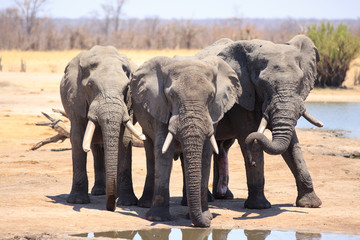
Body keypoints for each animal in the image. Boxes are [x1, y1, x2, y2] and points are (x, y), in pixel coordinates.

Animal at [59, 45, 145, 212]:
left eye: (127, 87)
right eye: (90, 86)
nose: (111, 208)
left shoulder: (129, 103)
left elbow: (125, 139)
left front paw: (127, 203)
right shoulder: (75, 98)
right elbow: (77, 138)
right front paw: (78, 201)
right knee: (96, 147)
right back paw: (99, 192)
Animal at [130, 54, 242, 227]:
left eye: (211, 96)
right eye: (171, 96)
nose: (208, 223)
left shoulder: (213, 113)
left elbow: (206, 153)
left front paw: (205, 216)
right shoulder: (159, 106)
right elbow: (163, 153)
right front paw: (158, 219)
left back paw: (185, 203)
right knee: (150, 153)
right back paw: (146, 205)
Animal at [197, 34, 324, 209]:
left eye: (300, 82)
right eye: (263, 84)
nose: (251, 162)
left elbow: (292, 144)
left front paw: (310, 204)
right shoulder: (241, 96)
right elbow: (249, 135)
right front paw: (259, 206)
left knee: (223, 146)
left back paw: (224, 196)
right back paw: (211, 199)